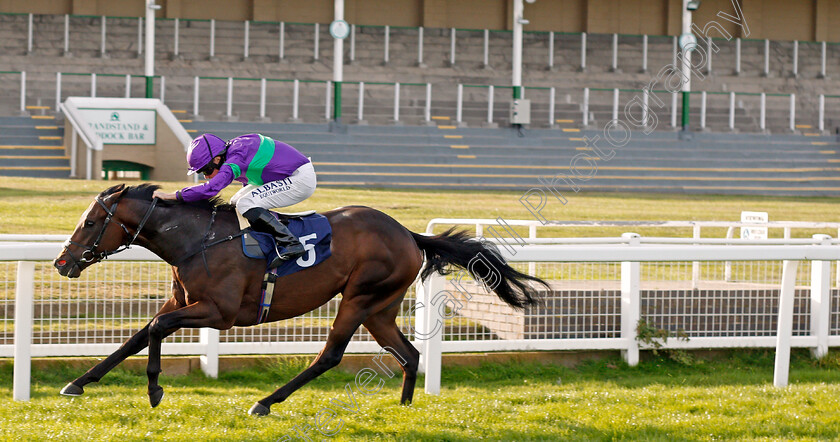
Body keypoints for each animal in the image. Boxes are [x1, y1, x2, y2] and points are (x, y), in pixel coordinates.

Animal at [54, 182, 552, 414]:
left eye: (91, 221)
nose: (63, 262)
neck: (197, 240)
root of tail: (408, 235)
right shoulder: (181, 303)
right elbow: (135, 338)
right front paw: (78, 382)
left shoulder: (219, 313)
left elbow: (154, 331)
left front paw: (155, 389)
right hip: (380, 309)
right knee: (409, 354)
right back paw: (405, 408)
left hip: (358, 298)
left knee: (329, 356)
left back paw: (265, 402)